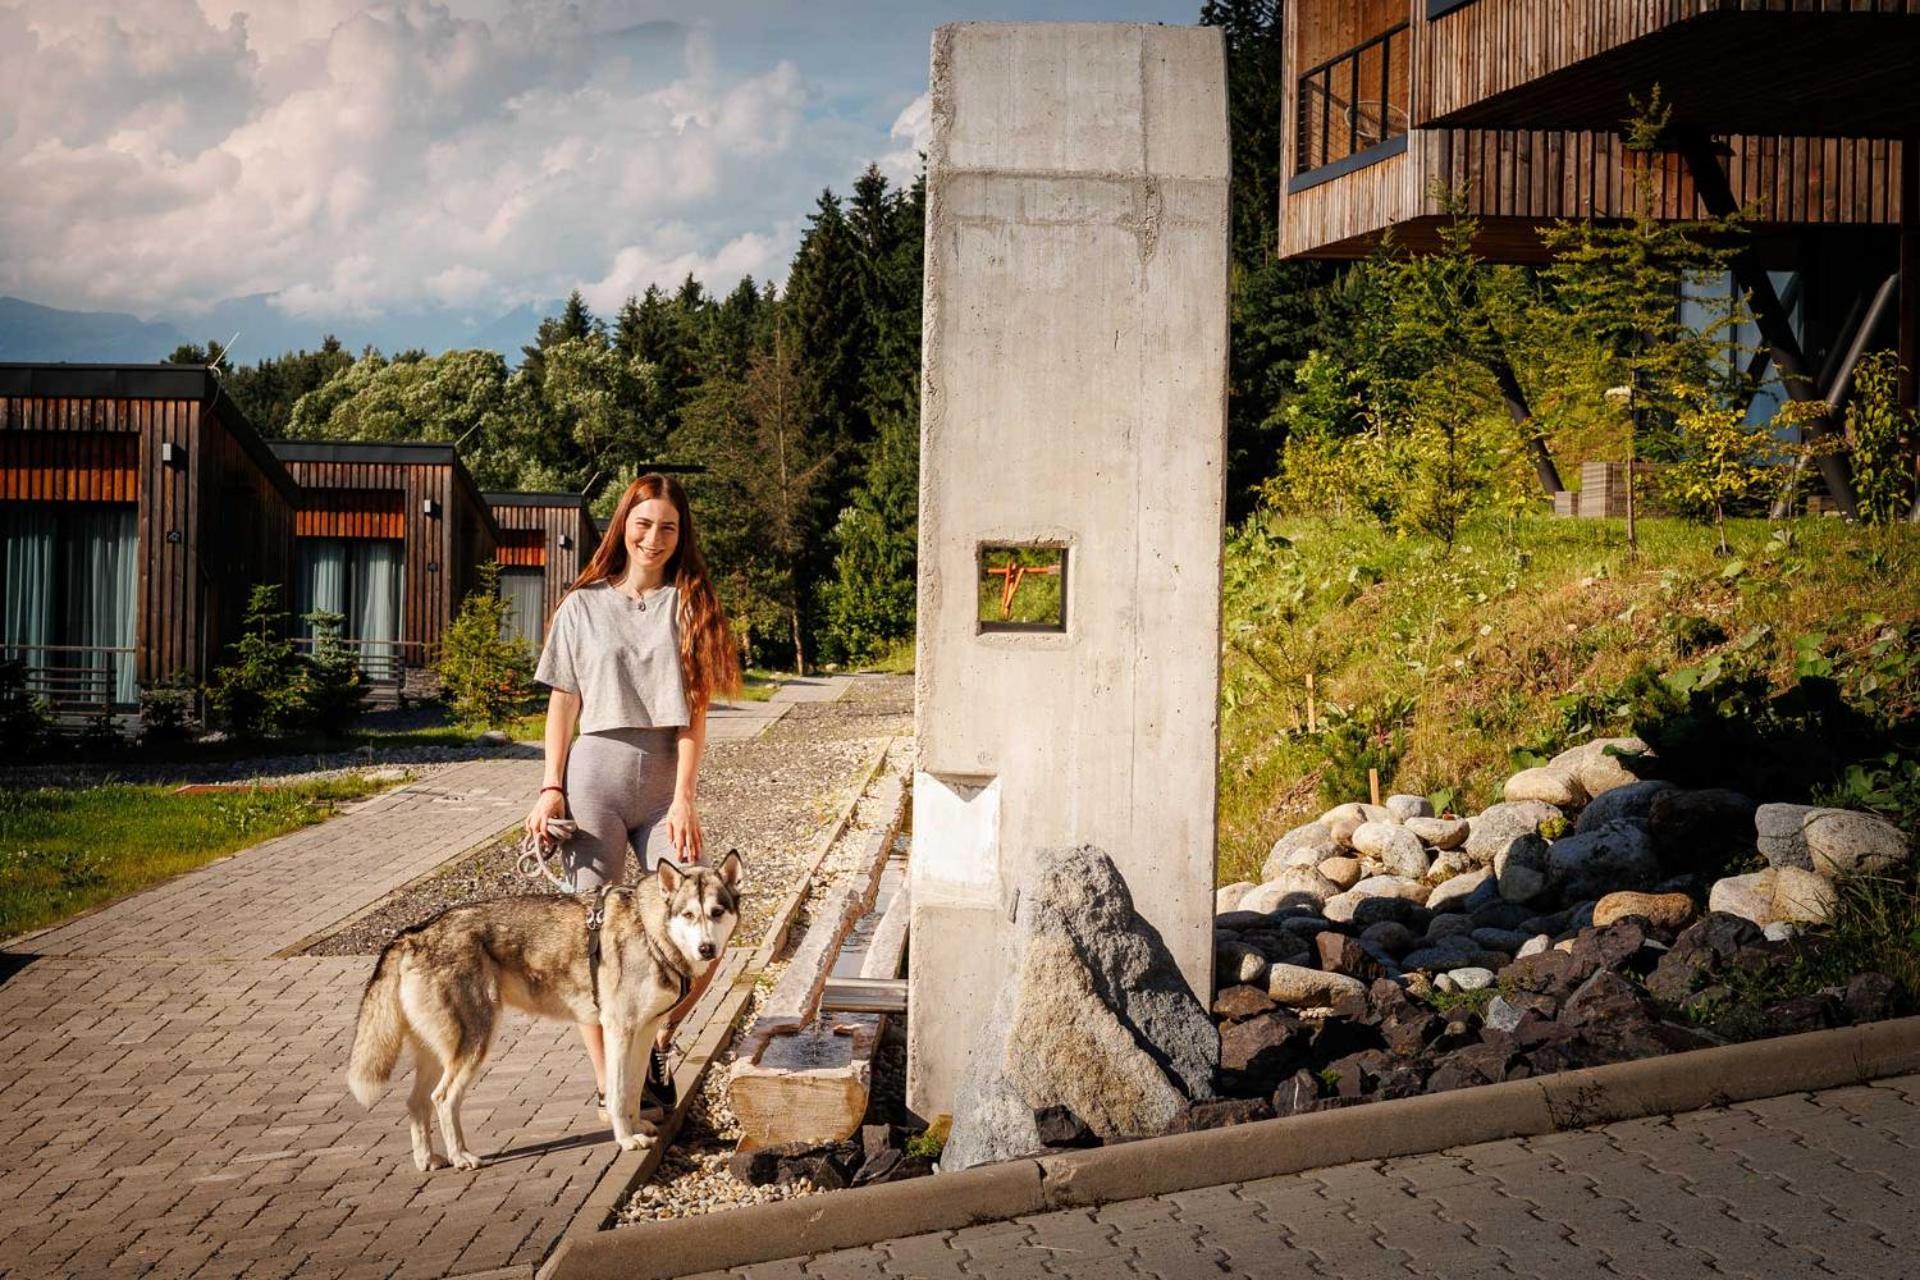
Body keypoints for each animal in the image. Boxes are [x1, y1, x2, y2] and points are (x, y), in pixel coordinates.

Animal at [341, 852, 737, 1174]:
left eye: (716, 913)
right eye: (689, 915)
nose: (706, 948)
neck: (651, 929)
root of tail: (412, 934)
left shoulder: (643, 1034)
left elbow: (633, 1089)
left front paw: (637, 1127)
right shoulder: (618, 1031)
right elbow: (617, 1091)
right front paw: (625, 1139)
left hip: (439, 1053)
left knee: (416, 1102)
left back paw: (427, 1159)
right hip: (473, 1046)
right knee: (443, 1099)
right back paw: (460, 1157)